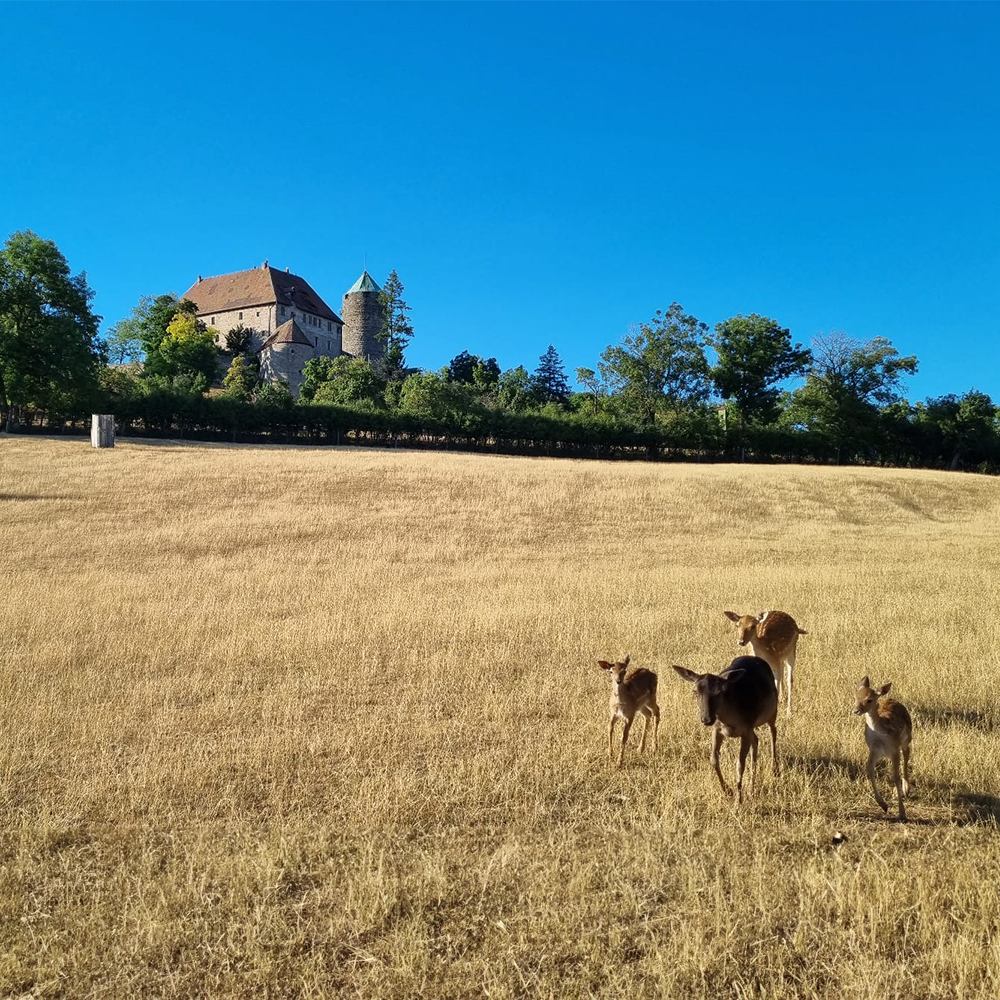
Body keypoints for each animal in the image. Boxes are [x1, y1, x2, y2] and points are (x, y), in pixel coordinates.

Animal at [672, 656, 780, 804]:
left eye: (720, 692)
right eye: (695, 692)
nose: (706, 719)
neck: (730, 720)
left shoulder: (746, 728)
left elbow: (740, 764)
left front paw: (738, 800)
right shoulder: (717, 729)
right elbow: (713, 759)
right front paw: (728, 791)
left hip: (772, 709)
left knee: (773, 731)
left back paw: (775, 769)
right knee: (756, 740)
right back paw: (752, 788)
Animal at [852, 676, 916, 824]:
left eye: (869, 700)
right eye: (855, 697)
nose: (856, 710)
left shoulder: (894, 750)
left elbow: (896, 777)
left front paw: (902, 814)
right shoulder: (874, 750)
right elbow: (870, 769)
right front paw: (883, 805)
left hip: (906, 740)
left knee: (907, 755)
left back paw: (906, 789)